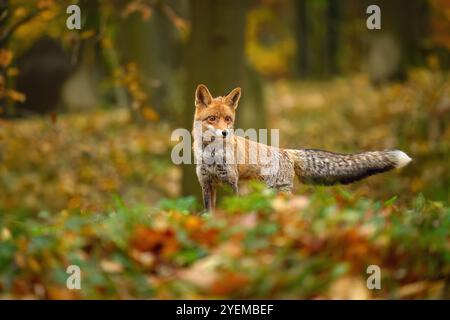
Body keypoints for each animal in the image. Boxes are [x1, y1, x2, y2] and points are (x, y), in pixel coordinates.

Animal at [192, 84, 410, 211]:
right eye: (212, 118)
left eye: (228, 119)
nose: (225, 133)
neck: (211, 156)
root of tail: (286, 152)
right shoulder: (207, 183)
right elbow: (209, 213)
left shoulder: (231, 182)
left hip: (276, 192)